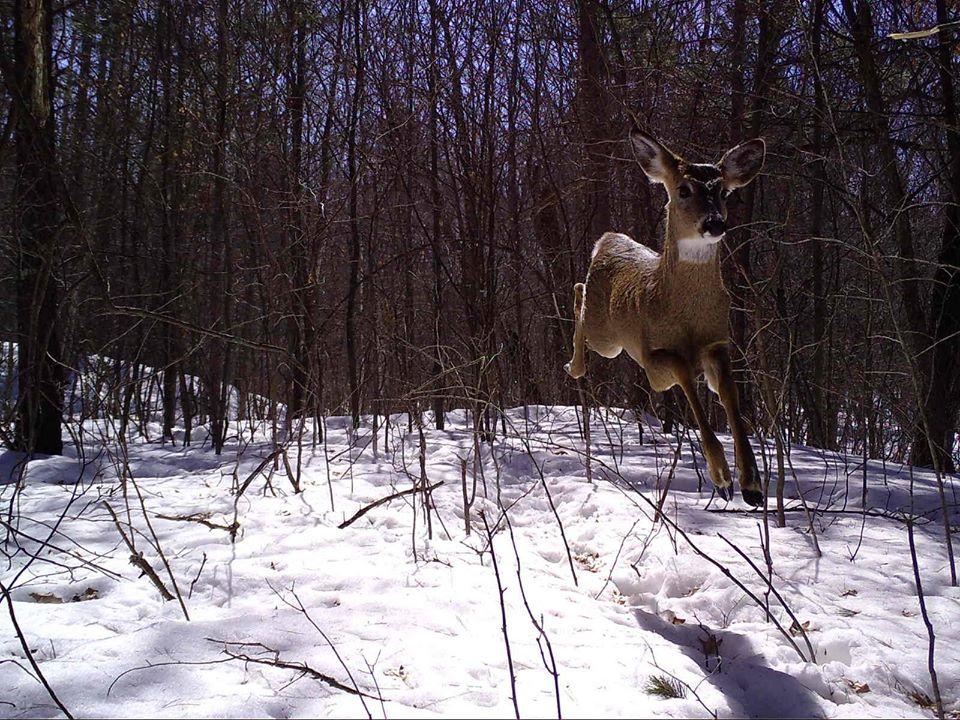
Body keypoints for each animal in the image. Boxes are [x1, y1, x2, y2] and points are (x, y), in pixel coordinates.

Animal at [564, 129, 766, 506]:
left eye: (723, 191)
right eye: (683, 189)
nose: (715, 223)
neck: (685, 314)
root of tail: (608, 239)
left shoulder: (718, 342)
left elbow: (729, 395)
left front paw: (752, 485)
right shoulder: (653, 360)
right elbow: (684, 372)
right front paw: (721, 477)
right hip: (607, 337)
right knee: (579, 291)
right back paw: (574, 366)